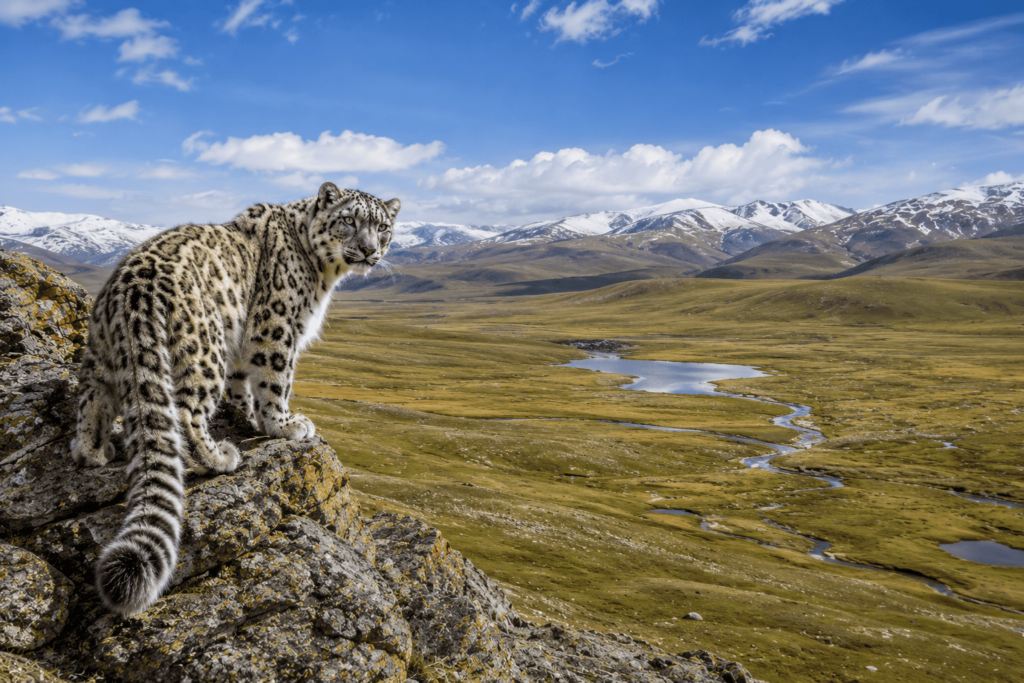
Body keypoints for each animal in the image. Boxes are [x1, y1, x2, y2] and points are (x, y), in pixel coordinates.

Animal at [71, 182, 400, 616]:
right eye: (349, 220)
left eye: (382, 227)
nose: (368, 250)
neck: (324, 273)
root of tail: (133, 288)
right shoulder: (277, 328)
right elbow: (277, 380)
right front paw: (285, 425)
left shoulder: (244, 352)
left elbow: (245, 385)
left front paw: (251, 418)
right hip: (203, 350)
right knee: (185, 414)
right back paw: (218, 457)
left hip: (101, 355)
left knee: (91, 401)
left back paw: (93, 450)